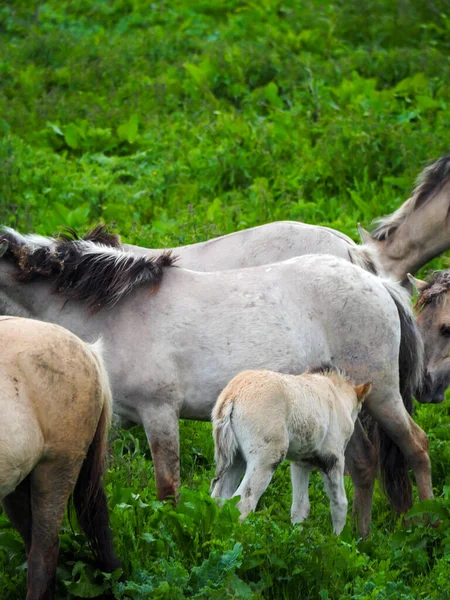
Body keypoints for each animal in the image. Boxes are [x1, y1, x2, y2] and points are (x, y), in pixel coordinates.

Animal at [211, 366, 372, 536]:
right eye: (359, 409)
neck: (337, 397)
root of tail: (232, 395)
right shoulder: (332, 458)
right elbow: (340, 503)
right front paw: (338, 538)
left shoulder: (301, 462)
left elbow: (300, 507)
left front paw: (297, 537)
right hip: (267, 457)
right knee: (243, 501)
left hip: (236, 458)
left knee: (220, 497)